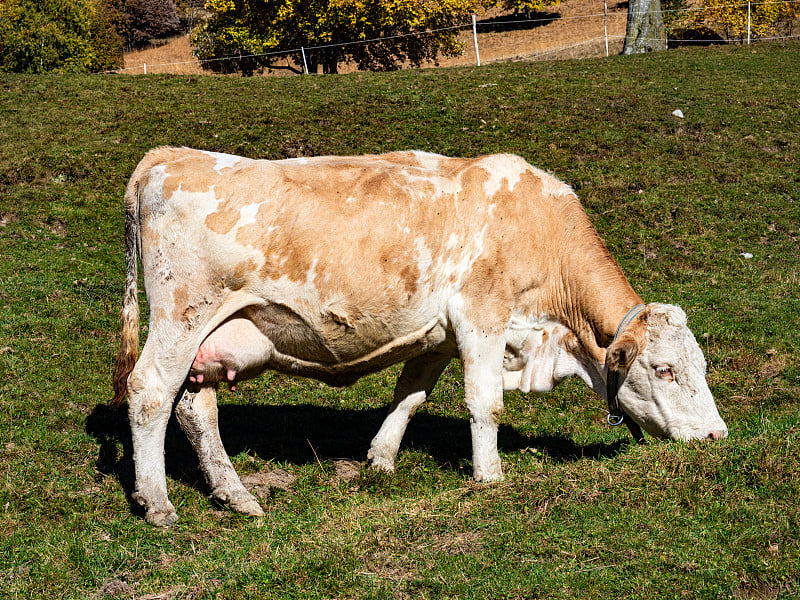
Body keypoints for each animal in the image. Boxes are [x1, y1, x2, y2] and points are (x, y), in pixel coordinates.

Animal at [114, 149, 732, 524]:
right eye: (664, 369)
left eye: (700, 365)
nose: (716, 436)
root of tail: (168, 156)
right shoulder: (482, 317)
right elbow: (485, 404)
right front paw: (490, 477)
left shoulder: (437, 338)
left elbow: (409, 398)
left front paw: (381, 460)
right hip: (181, 316)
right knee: (150, 393)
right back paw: (158, 503)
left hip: (212, 336)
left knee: (195, 408)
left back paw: (236, 495)